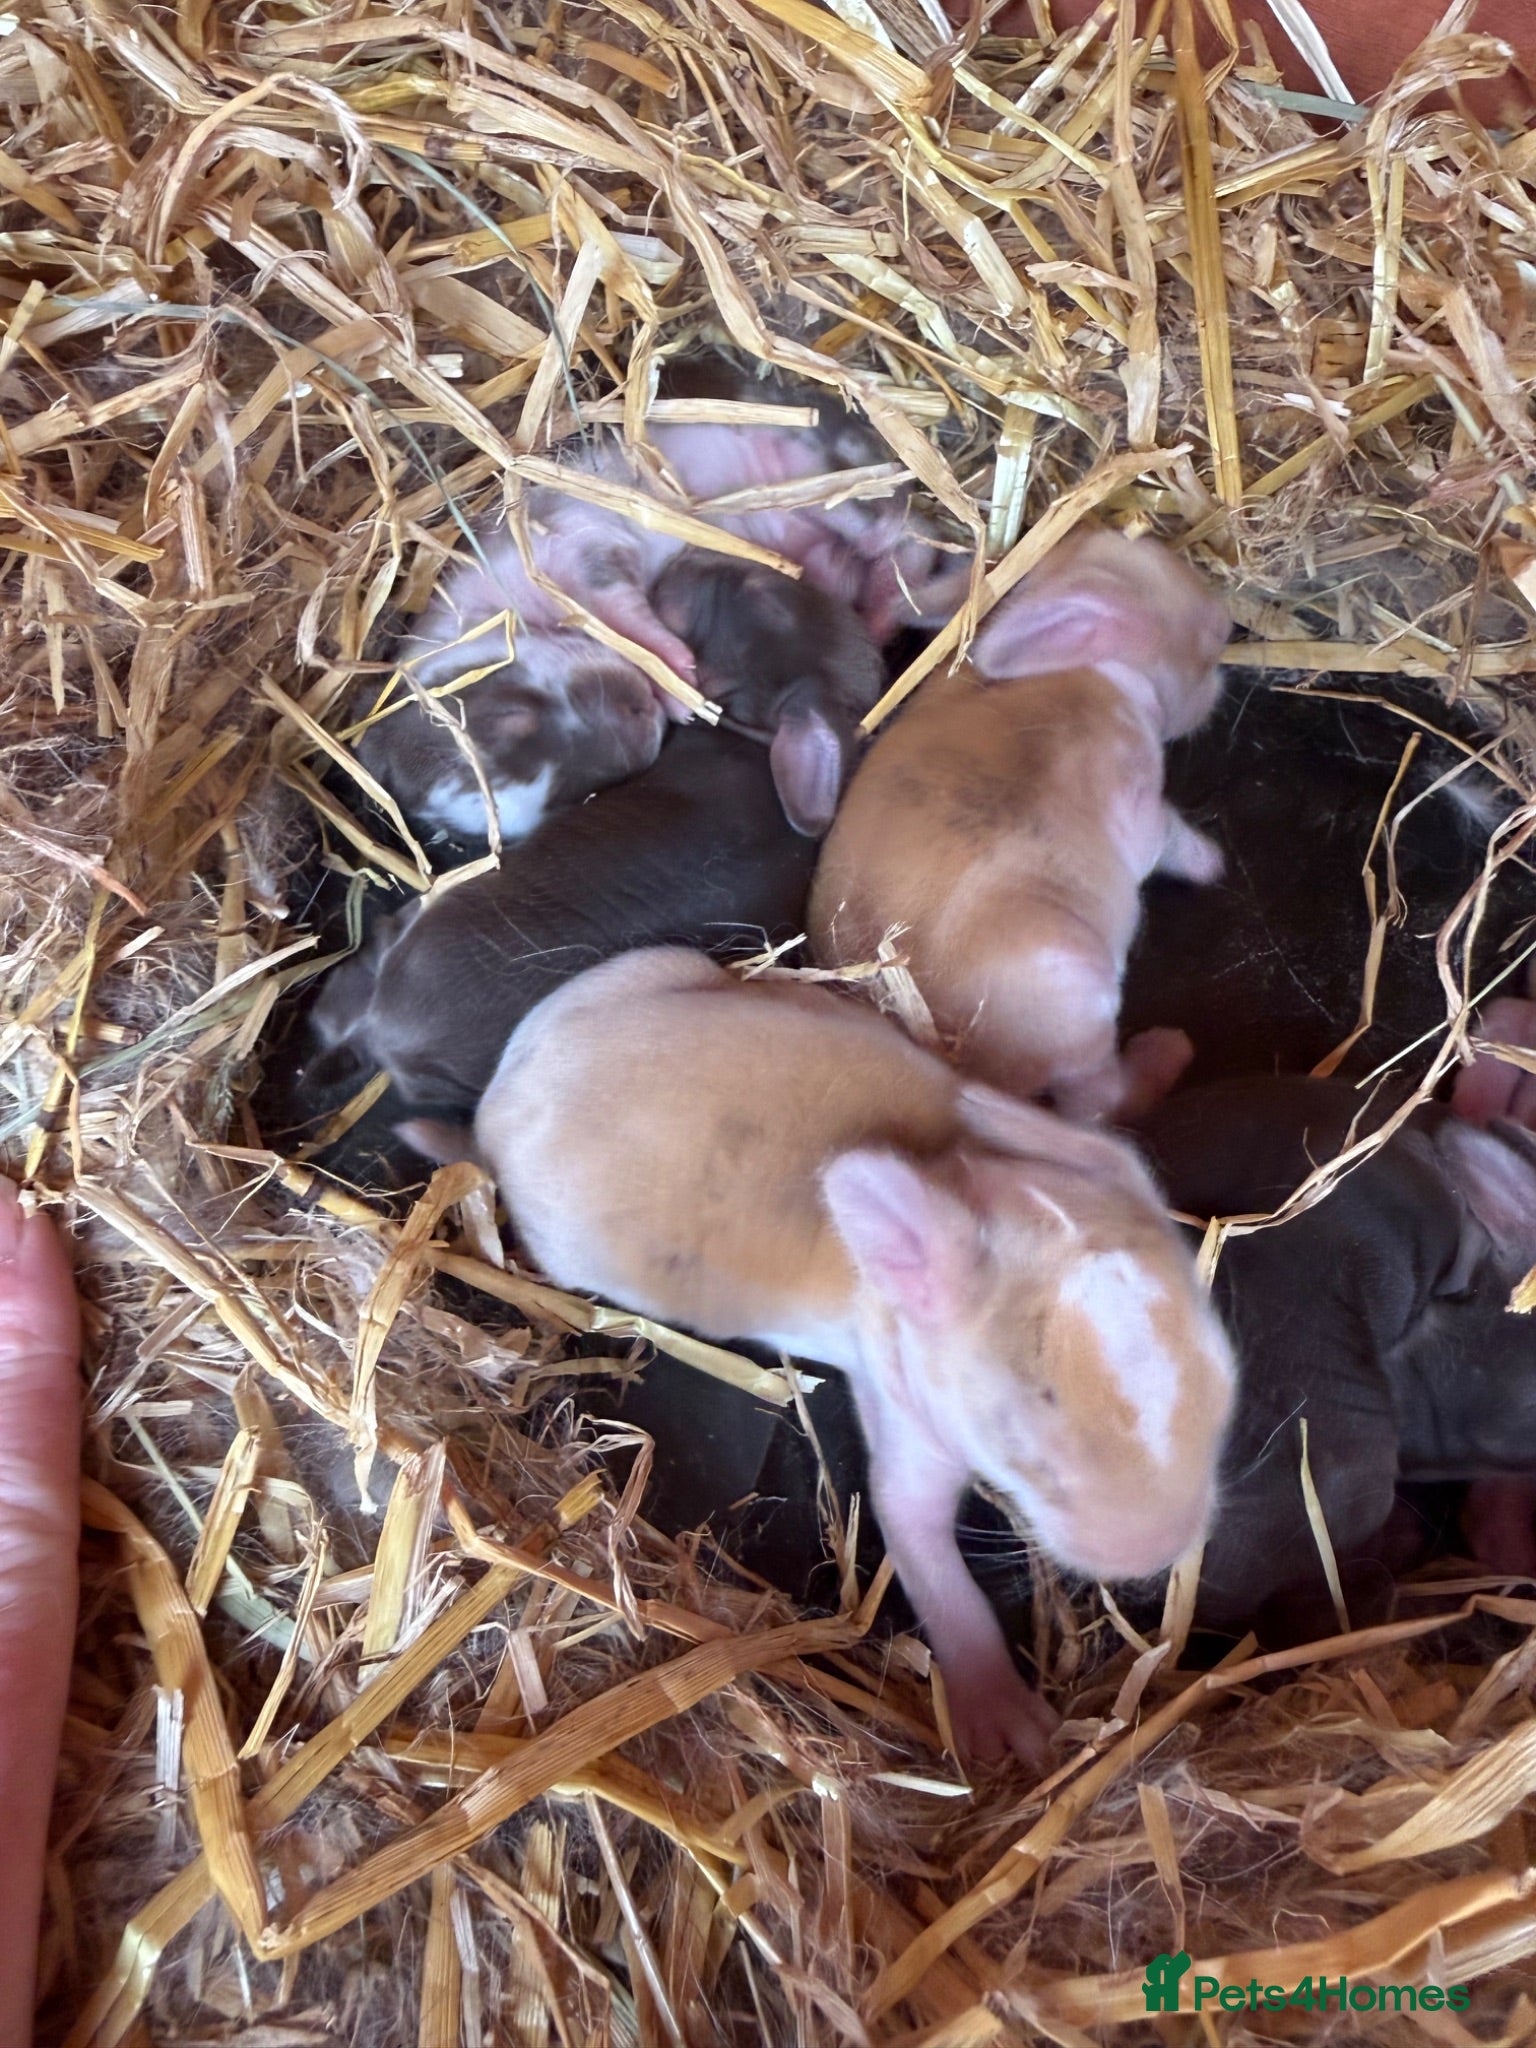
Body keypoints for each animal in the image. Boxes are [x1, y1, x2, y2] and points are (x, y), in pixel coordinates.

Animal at [449, 946, 1236, 1768]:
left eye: (1226, 1399)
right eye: (1022, 1452)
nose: (1156, 1552)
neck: (966, 1174)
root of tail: (493, 1113)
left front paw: (1167, 1053)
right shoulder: (901, 1400)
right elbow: (915, 1534)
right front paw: (1010, 1730)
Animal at [809, 525, 1231, 1122]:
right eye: (1213, 637)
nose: (1227, 620)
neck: (1091, 669)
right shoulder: (1140, 804)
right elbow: (1169, 838)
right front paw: (1215, 864)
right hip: (1078, 991)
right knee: (1099, 1100)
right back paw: (1168, 1049)